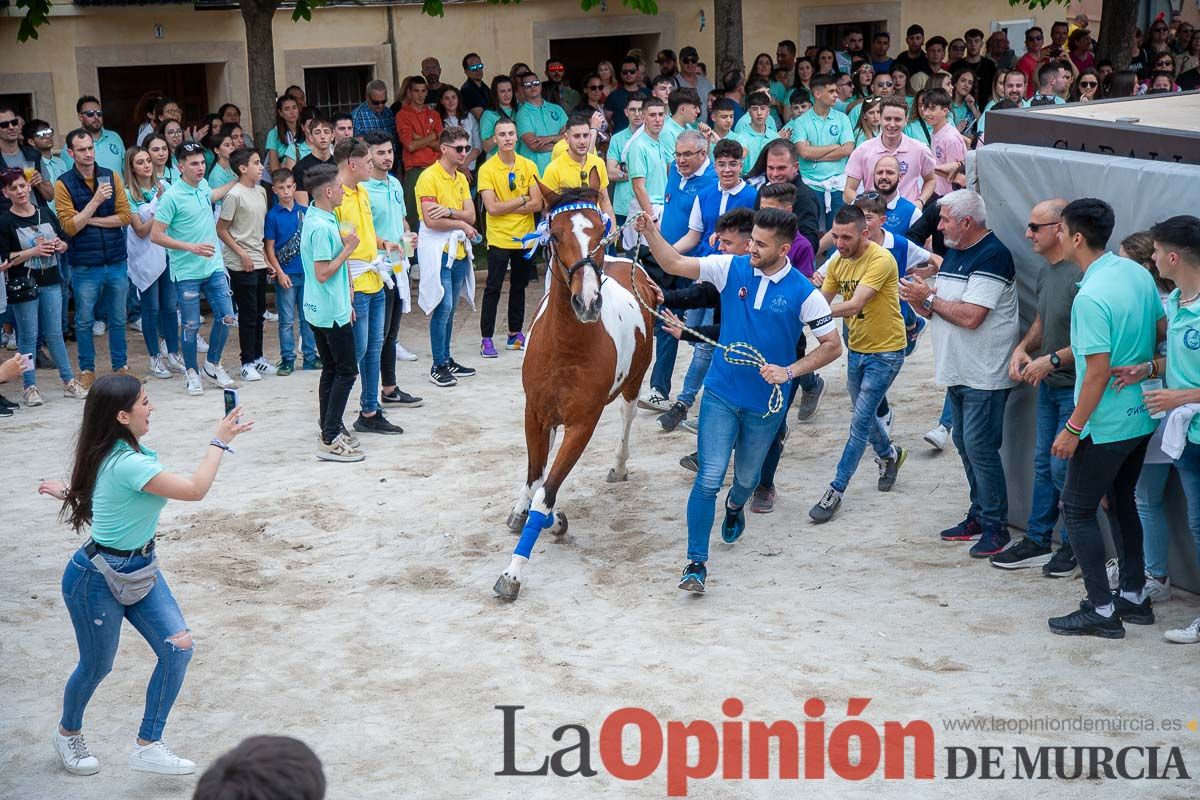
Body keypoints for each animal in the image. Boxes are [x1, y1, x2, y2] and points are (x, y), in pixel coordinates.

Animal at [494, 178, 657, 597]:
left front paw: (512, 573)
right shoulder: (535, 414)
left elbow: (546, 494)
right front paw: (529, 512)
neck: (565, 348)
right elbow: (536, 478)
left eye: (599, 232)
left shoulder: (582, 425)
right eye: (554, 234)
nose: (587, 301)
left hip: (634, 380)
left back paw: (619, 465)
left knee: (628, 414)